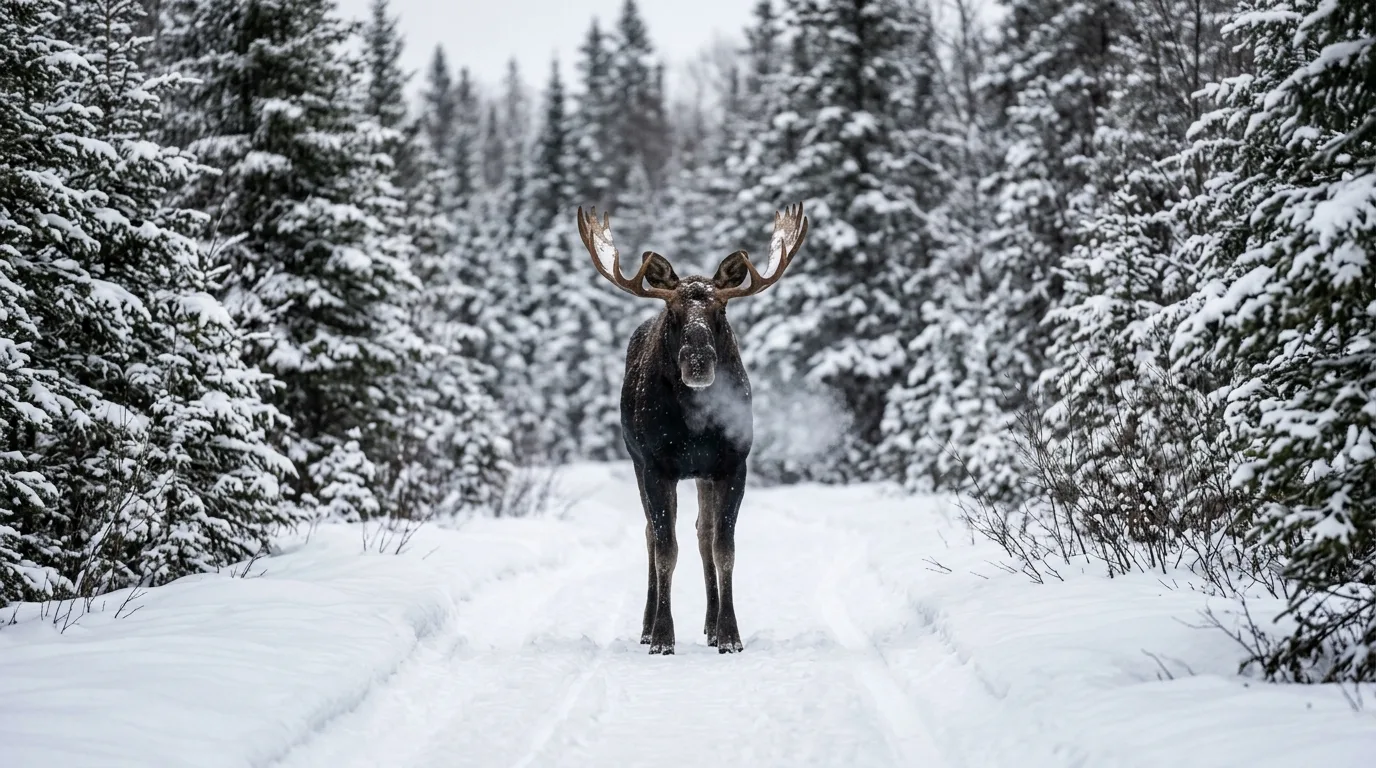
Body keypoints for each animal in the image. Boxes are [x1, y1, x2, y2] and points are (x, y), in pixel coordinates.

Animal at [576, 203, 809, 655]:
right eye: (674, 313)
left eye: (721, 310)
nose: (698, 361)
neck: (697, 426)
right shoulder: (655, 465)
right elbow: (666, 548)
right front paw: (662, 636)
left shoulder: (733, 463)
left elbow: (723, 547)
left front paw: (730, 634)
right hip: (638, 462)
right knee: (651, 535)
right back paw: (647, 626)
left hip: (702, 474)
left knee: (703, 535)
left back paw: (711, 624)